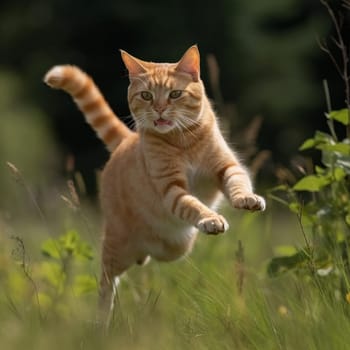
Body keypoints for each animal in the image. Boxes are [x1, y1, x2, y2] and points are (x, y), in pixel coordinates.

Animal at [43, 45, 266, 322]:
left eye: (175, 94)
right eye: (147, 95)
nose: (159, 109)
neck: (182, 140)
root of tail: (127, 139)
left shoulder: (226, 167)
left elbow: (238, 184)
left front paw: (248, 199)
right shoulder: (171, 188)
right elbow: (193, 204)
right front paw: (210, 218)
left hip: (177, 247)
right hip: (117, 245)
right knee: (106, 281)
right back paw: (101, 321)